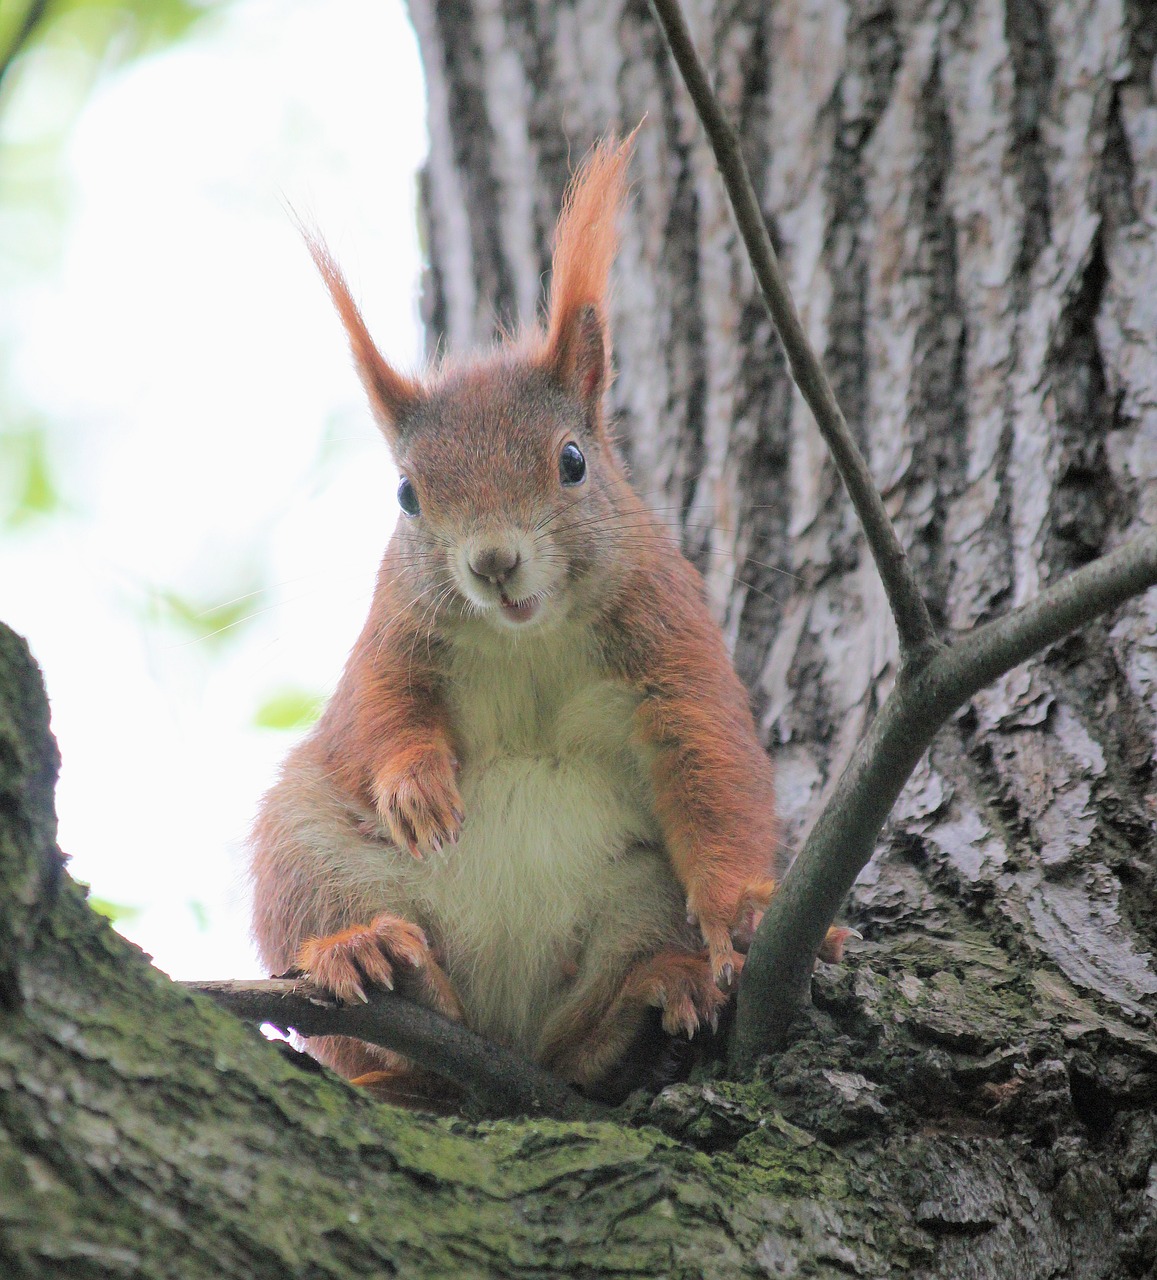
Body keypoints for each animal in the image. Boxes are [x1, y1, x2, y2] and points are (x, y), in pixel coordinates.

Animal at [253, 137, 829, 1100]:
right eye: (407, 495)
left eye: (572, 462)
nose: (492, 562)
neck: (527, 637)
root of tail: (500, 1041)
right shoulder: (391, 636)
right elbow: (378, 714)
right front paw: (415, 787)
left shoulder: (671, 642)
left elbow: (713, 767)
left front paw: (742, 912)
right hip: (304, 848)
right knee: (364, 992)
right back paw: (373, 957)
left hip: (636, 903)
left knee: (579, 1042)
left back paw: (650, 992)